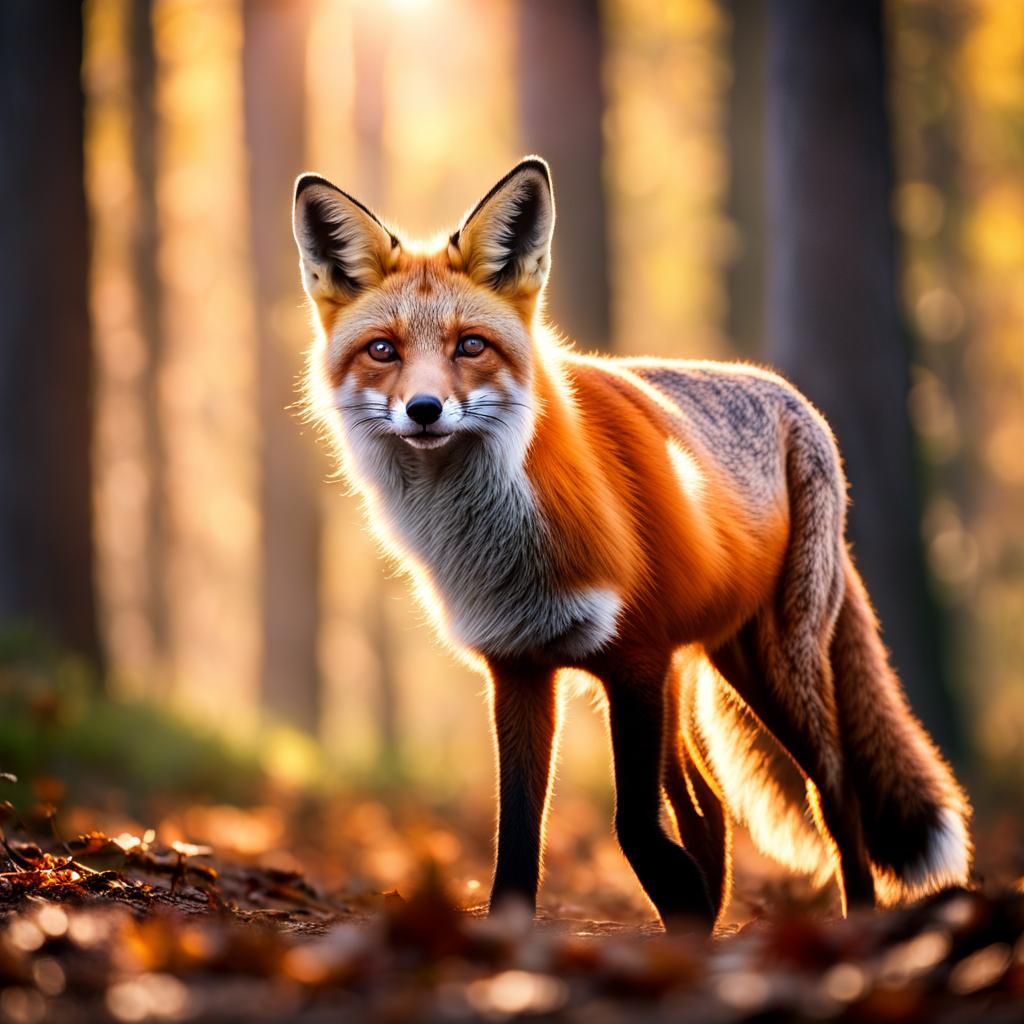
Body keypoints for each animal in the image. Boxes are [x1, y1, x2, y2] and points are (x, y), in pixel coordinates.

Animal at [291, 157, 972, 931]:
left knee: (835, 792)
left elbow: (634, 826)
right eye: (384, 350)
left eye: (470, 345)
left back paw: (851, 920)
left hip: (776, 668)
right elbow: (517, 836)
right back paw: (705, 926)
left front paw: (677, 895)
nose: (425, 409)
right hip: (706, 671)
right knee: (708, 805)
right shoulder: (517, 668)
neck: (498, 543)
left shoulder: (636, 662)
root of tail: (792, 397)